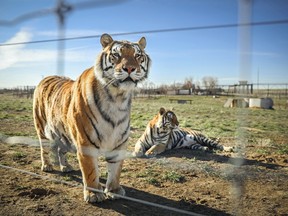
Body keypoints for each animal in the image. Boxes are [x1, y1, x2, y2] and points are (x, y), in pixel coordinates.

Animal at [33, 33, 151, 202]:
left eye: (137, 56)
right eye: (117, 55)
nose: (129, 68)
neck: (118, 98)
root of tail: (45, 77)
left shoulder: (119, 142)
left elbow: (115, 170)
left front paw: (114, 190)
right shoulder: (85, 141)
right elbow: (90, 170)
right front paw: (94, 194)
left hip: (64, 134)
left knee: (61, 150)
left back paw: (65, 167)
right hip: (42, 127)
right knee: (44, 149)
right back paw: (47, 166)